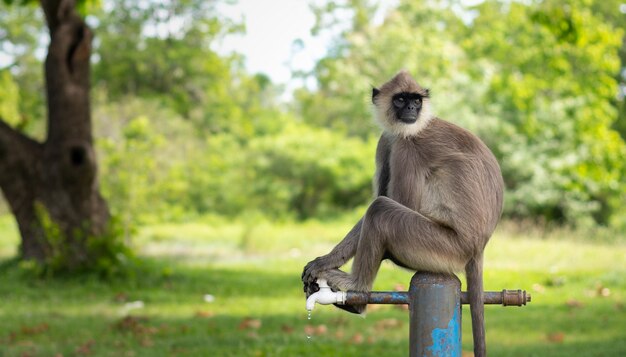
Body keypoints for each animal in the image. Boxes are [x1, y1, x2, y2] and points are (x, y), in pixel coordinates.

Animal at [298, 70, 502, 356]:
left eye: (416, 100)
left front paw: (327, 264)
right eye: (401, 99)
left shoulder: (408, 146)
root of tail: (478, 247)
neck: (417, 126)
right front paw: (326, 259)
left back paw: (356, 290)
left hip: (445, 247)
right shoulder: (387, 141)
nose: (411, 109)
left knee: (381, 210)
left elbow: (398, 203)